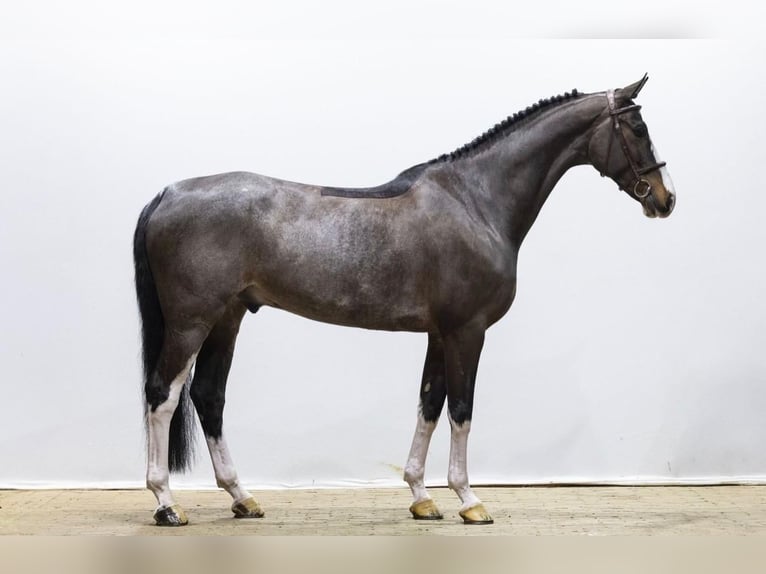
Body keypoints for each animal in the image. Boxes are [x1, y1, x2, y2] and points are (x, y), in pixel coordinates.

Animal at [133, 75, 675, 526]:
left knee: (209, 396)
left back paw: (241, 498)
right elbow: (462, 409)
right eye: (639, 127)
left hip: (227, 318)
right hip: (190, 322)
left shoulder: (440, 332)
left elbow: (429, 405)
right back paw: (166, 504)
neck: (476, 202)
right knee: (162, 396)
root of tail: (168, 193)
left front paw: (421, 497)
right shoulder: (466, 331)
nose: (665, 199)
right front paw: (470, 500)